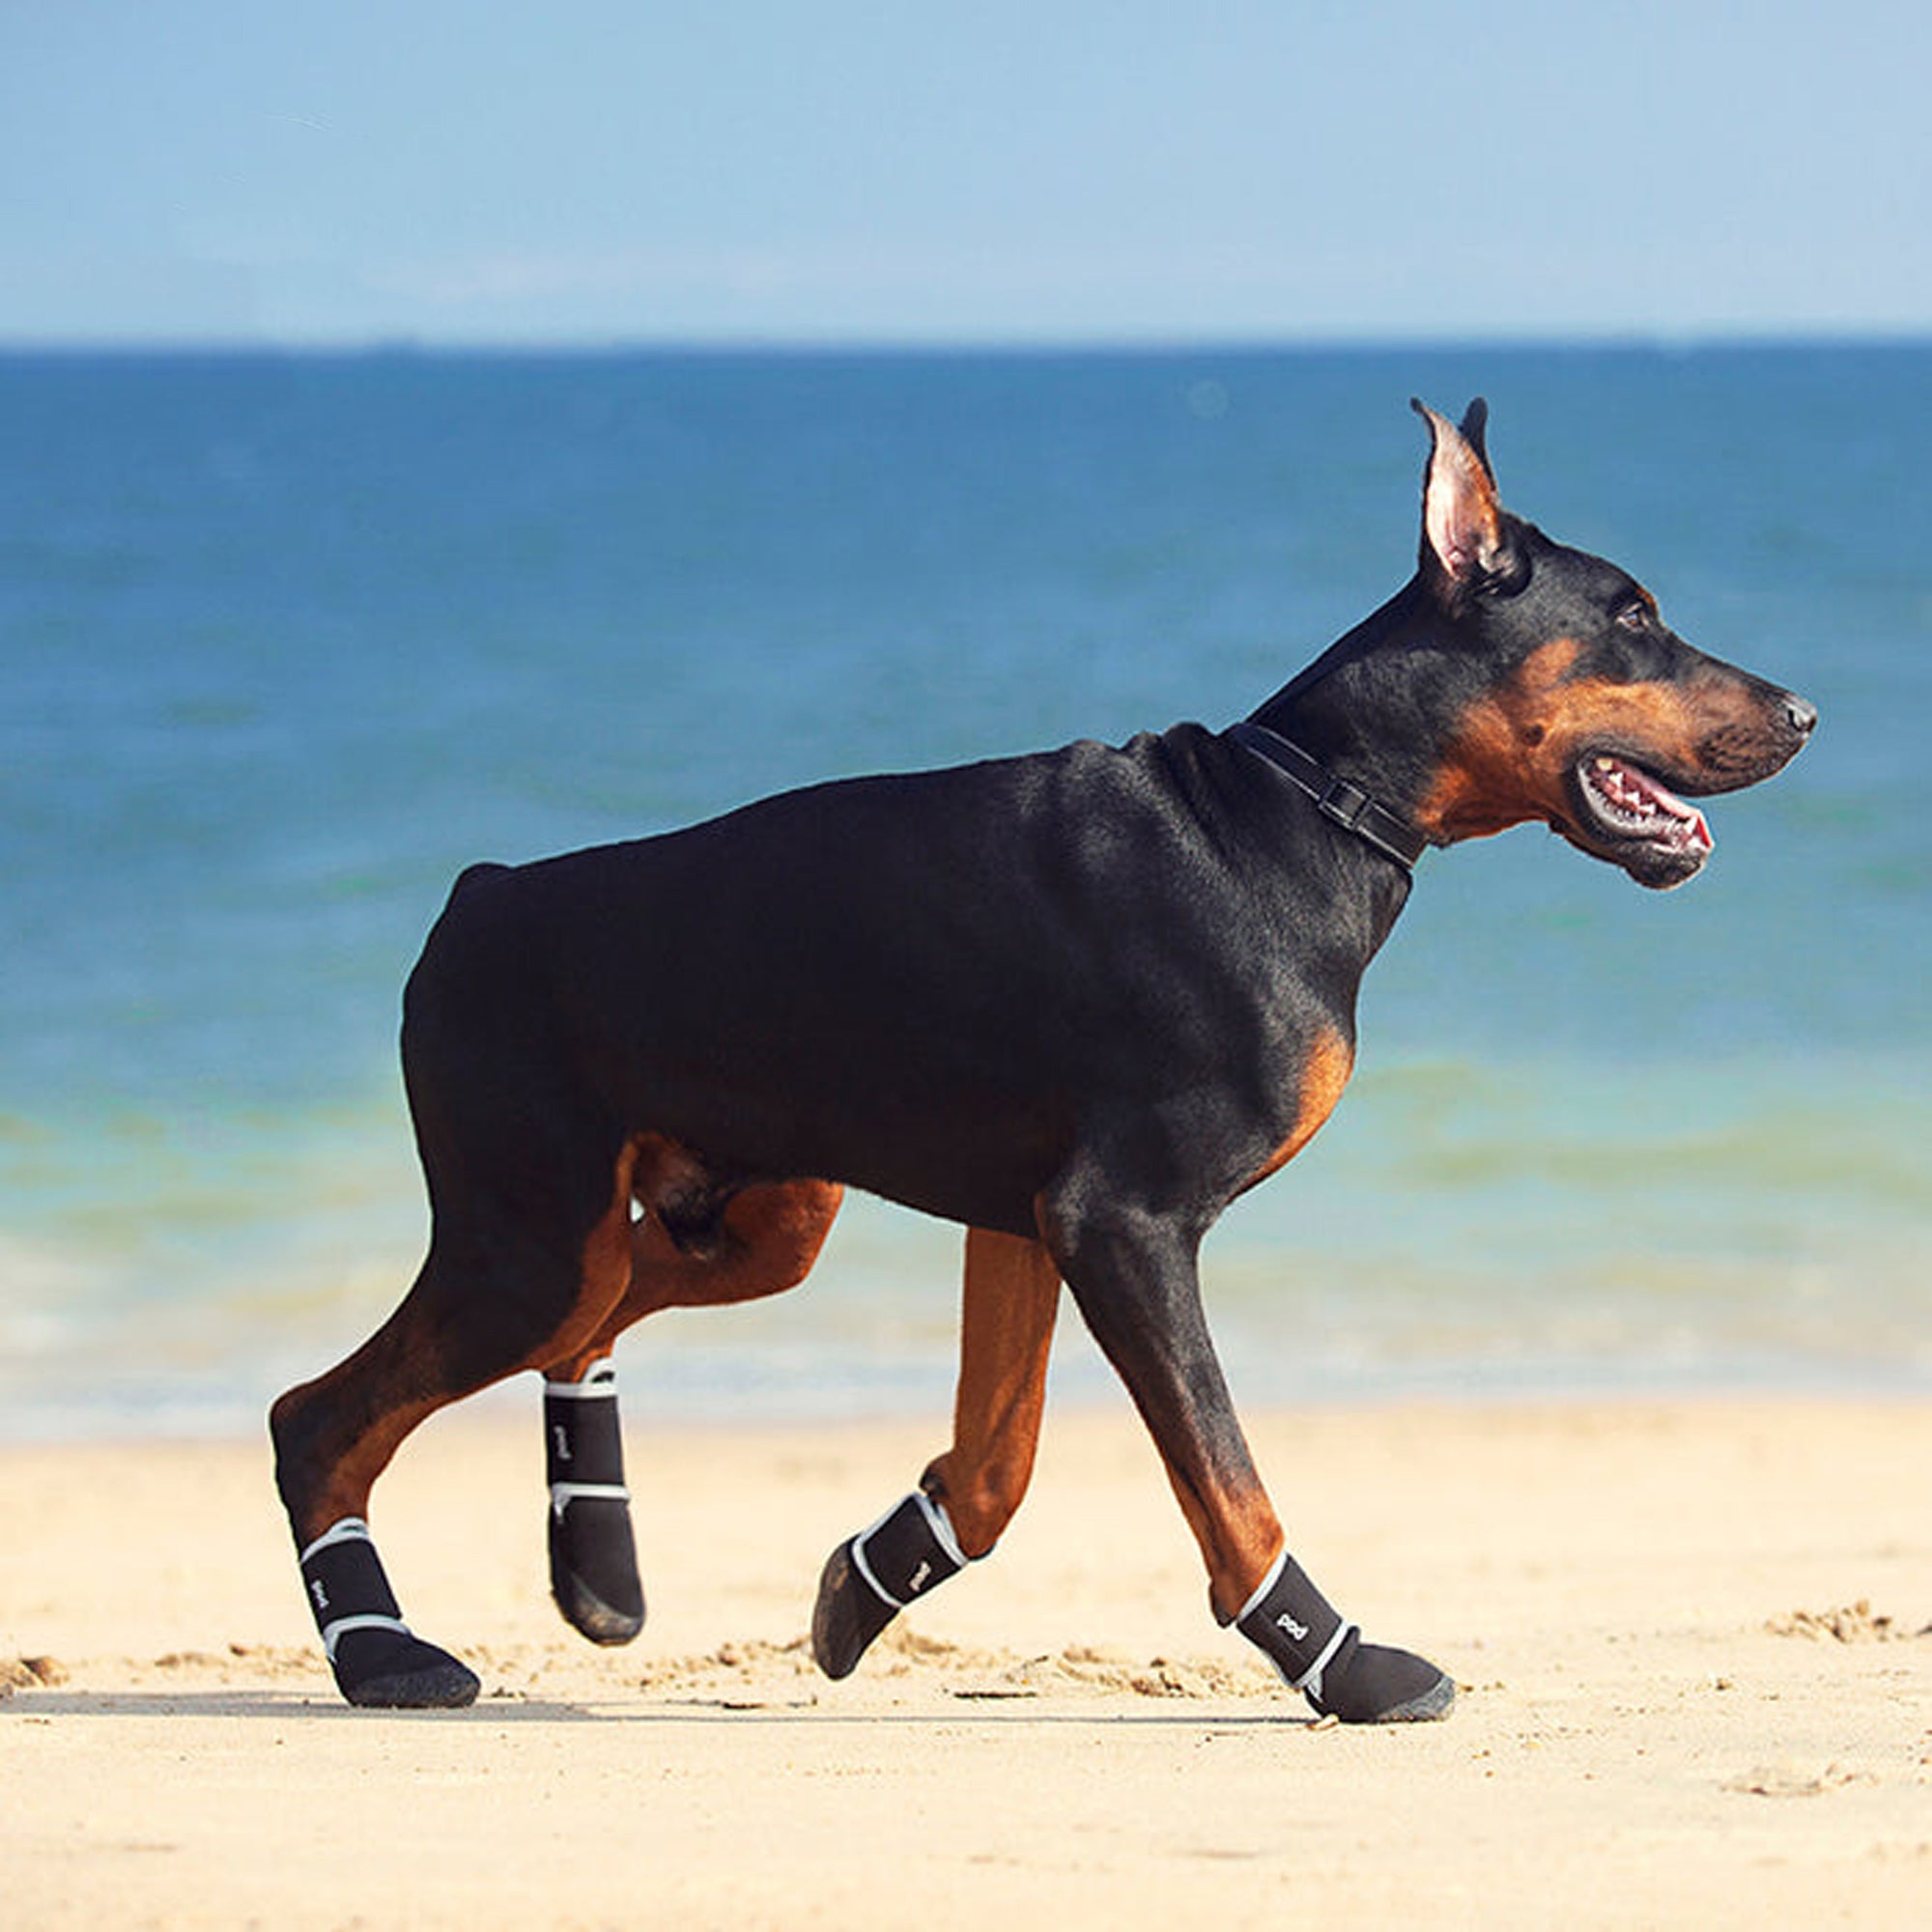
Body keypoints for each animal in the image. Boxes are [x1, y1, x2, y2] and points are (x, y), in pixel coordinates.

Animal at [269, 404, 1808, 1723]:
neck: (1299, 813)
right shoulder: (1122, 1220)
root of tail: (480, 896)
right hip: (524, 1242)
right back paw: (383, 1652)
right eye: (1634, 619)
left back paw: (594, 1573)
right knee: (318, 1419)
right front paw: (1337, 1659)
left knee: (586, 1324)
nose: (1802, 713)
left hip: (749, 1224)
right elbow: (1223, 1476)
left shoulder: (1022, 1222)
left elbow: (997, 1471)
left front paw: (870, 1582)